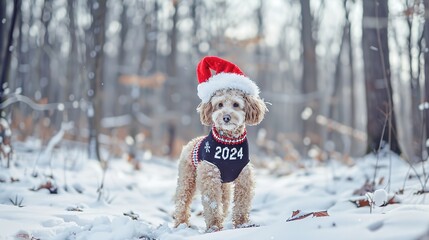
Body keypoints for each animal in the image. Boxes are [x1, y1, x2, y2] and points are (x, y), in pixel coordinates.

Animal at [172, 56, 266, 231]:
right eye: (219, 105)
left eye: (236, 104)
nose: (226, 117)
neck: (228, 142)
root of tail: (191, 142)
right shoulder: (210, 176)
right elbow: (212, 204)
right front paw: (214, 227)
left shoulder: (244, 177)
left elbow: (241, 203)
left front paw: (242, 224)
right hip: (187, 179)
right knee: (182, 201)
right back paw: (181, 224)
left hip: (225, 186)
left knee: (225, 202)